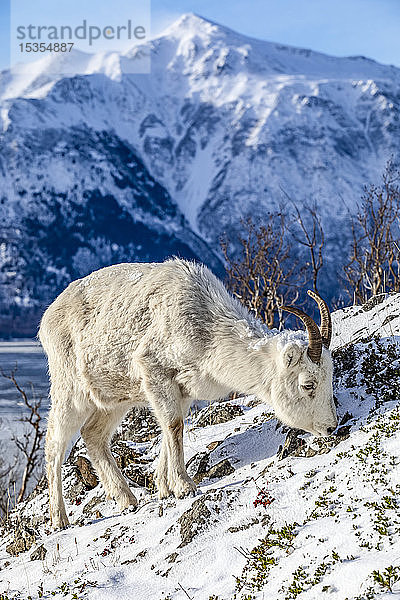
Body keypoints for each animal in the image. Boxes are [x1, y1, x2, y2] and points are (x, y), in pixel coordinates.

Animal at [39, 255, 336, 528]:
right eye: (308, 384)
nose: (331, 427)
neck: (208, 330)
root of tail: (47, 319)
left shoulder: (181, 391)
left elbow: (170, 429)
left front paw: (164, 489)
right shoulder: (156, 373)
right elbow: (173, 426)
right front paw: (185, 487)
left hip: (115, 401)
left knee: (93, 436)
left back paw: (127, 500)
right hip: (70, 393)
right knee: (54, 443)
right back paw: (59, 520)